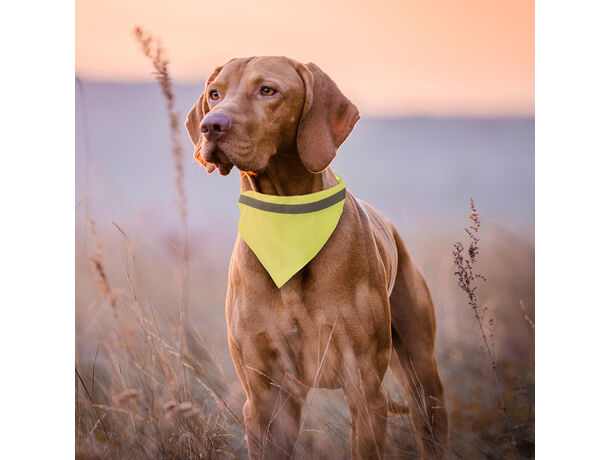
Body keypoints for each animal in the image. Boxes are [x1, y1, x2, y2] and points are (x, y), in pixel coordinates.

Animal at [184, 57, 446, 460]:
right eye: (215, 93)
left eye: (267, 90)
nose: (211, 125)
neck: (287, 223)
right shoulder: (265, 397)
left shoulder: (364, 389)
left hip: (422, 376)